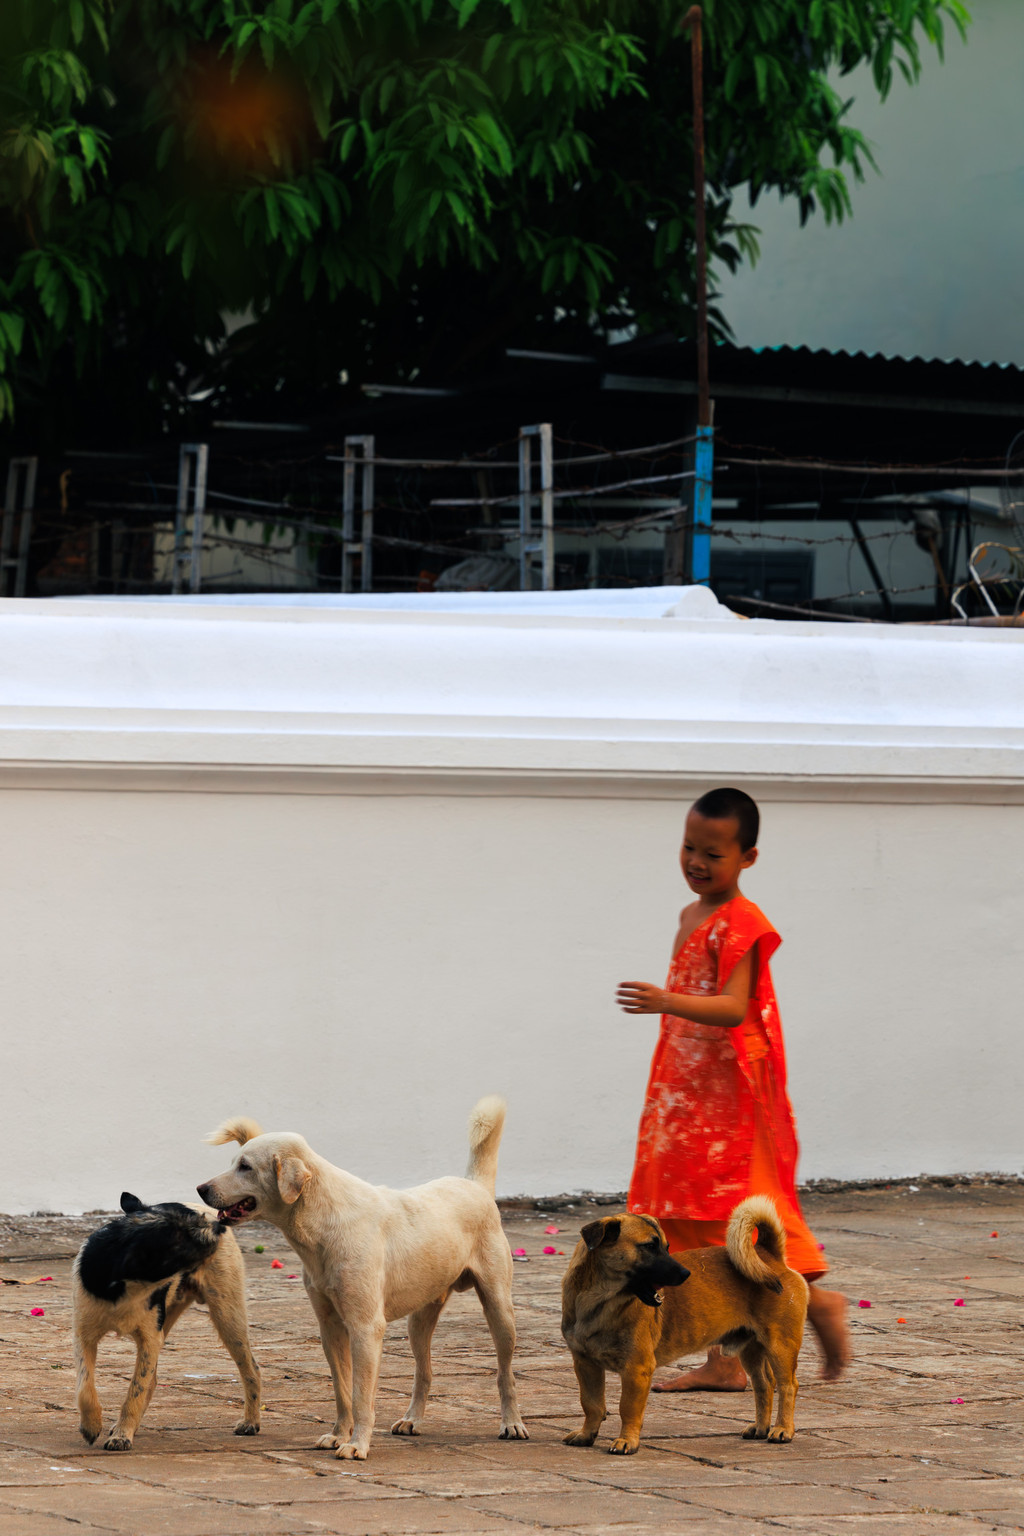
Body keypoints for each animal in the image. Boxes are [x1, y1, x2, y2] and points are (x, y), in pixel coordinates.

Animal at [72, 1193, 261, 1451]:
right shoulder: (84, 1335)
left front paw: (122, 1435)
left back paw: (250, 1422)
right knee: (152, 1380)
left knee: (252, 1369)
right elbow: (85, 1386)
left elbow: (136, 1388)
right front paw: (91, 1427)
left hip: (227, 1315)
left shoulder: (150, 1338)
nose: (219, 1227)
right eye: (180, 1239)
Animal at [197, 1094, 528, 1461]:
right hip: (419, 1321)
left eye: (245, 1166)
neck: (322, 1221)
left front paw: (357, 1445)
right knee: (424, 1372)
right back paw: (412, 1419)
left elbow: (360, 1395)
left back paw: (512, 1423)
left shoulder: (365, 1328)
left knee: (506, 1375)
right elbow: (342, 1392)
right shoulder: (330, 1328)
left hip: (499, 1310)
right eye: (234, 1163)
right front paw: (338, 1435)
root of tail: (473, 1185)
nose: (200, 1189)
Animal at [561, 1196, 809, 1453]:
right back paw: (760, 1427)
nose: (686, 1273)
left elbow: (627, 1408)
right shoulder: (585, 1365)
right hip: (751, 1350)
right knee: (764, 1385)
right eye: (649, 1247)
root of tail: (767, 1254)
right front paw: (587, 1434)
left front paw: (627, 1440)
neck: (598, 1301)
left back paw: (783, 1429)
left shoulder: (636, 1369)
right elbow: (591, 1404)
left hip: (780, 1346)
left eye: (666, 1247)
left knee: (788, 1386)